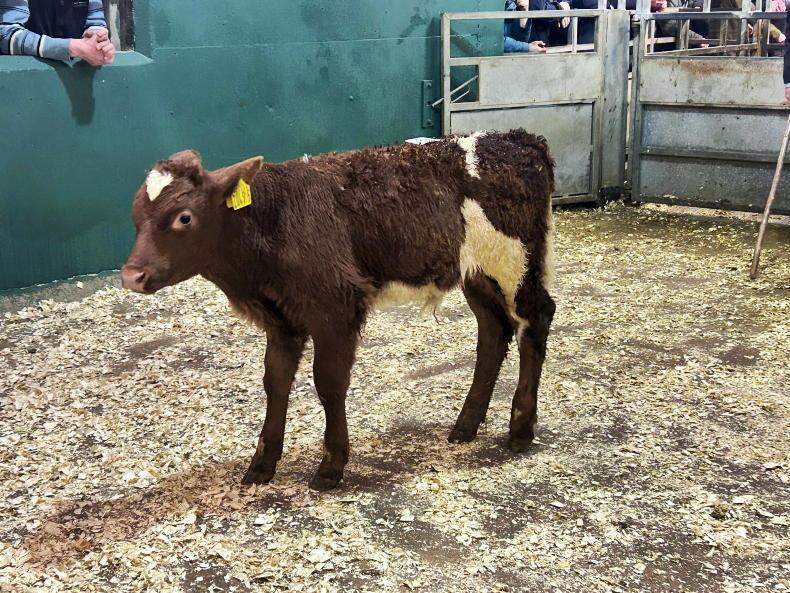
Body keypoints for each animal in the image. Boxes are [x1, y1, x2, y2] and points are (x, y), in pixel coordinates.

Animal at [121, 129, 556, 491]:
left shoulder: (337, 306)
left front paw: (331, 466)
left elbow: (329, 383)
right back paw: (465, 426)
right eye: (136, 216)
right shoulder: (281, 320)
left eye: (184, 217)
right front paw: (262, 465)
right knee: (494, 331)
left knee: (536, 317)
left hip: (516, 262)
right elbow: (275, 382)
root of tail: (519, 139)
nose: (131, 275)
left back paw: (520, 429)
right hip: (477, 273)